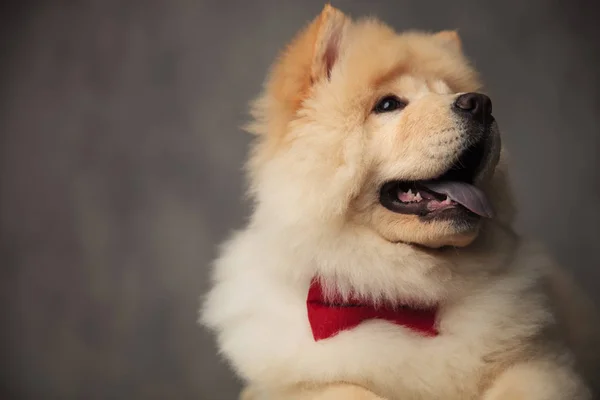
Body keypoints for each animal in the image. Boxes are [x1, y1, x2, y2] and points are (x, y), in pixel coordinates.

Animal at [203, 5, 600, 400]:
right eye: (389, 104)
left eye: (452, 92)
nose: (480, 104)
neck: (402, 298)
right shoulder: (298, 384)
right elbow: (350, 389)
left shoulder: (543, 363)